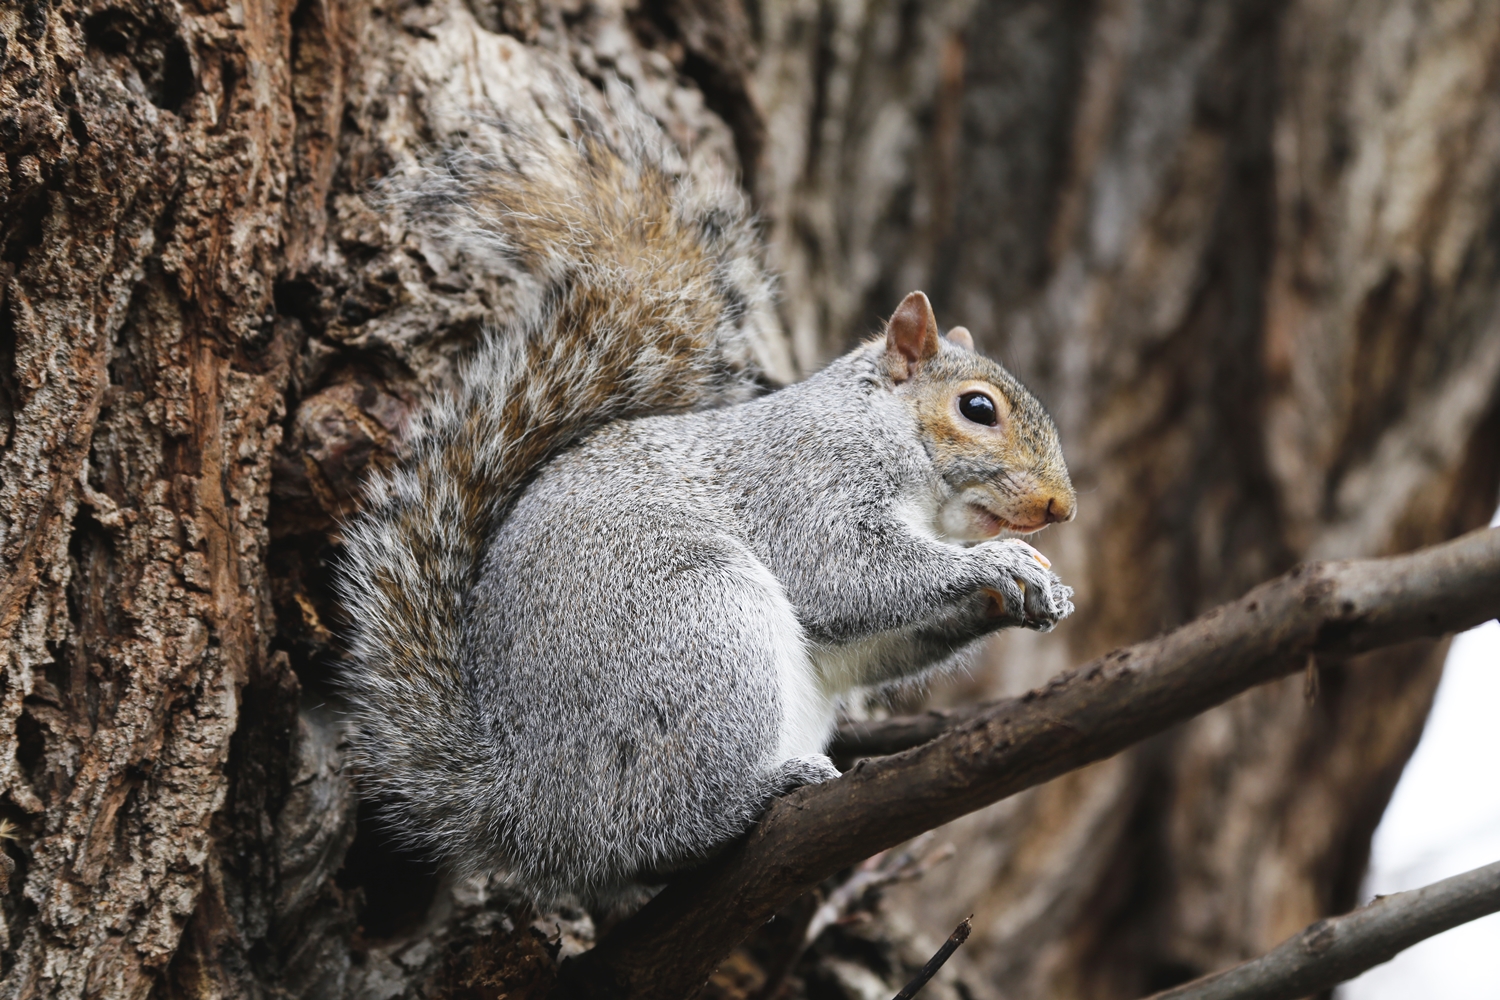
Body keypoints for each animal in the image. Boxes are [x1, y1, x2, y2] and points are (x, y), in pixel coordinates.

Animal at [337, 118, 1077, 907]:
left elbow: (875, 643)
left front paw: (1030, 594)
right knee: (657, 826)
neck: (893, 436)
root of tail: (529, 806)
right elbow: (845, 577)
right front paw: (995, 564)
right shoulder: (808, 480)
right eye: (977, 409)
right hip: (701, 631)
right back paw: (754, 795)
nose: (1062, 507)